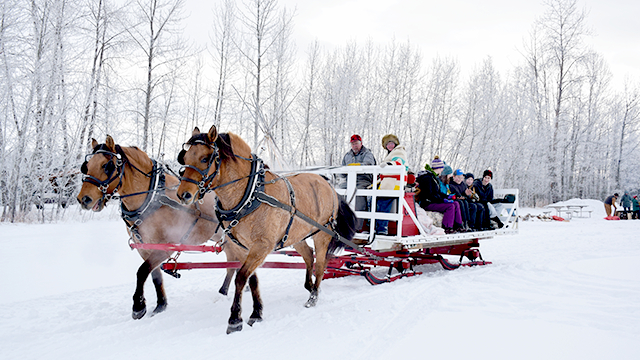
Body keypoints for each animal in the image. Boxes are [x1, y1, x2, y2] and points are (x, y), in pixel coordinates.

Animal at [77, 136, 250, 320]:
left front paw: (138, 306)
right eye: (87, 166)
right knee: (235, 261)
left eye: (106, 165)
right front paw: (160, 305)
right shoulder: (145, 247)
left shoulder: (166, 246)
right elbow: (155, 275)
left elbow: (142, 271)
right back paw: (230, 290)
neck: (152, 199)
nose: (83, 199)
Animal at [176, 125, 356, 334]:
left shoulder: (261, 246)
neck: (250, 195)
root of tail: (328, 184)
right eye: (185, 158)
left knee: (320, 264)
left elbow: (241, 278)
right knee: (309, 255)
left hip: (322, 234)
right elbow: (252, 280)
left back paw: (313, 297)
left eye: (205, 159)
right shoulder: (241, 247)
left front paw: (235, 320)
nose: (183, 195)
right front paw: (256, 313)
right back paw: (309, 285)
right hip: (295, 235)